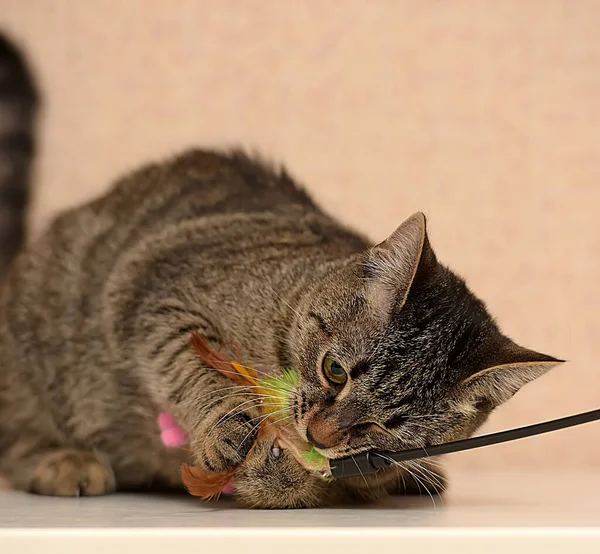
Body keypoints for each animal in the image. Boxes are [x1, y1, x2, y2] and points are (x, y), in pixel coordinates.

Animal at [0, 40, 560, 508]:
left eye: (391, 426)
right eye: (334, 370)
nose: (321, 434)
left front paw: (290, 471)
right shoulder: (154, 284)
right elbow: (192, 367)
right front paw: (228, 428)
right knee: (19, 441)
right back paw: (66, 462)